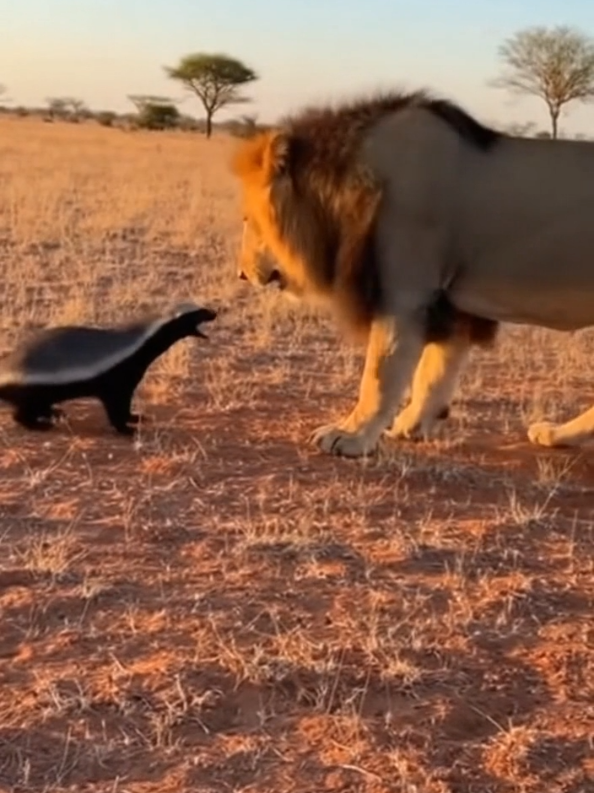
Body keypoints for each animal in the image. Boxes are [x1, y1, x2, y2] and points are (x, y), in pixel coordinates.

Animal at [230, 88, 594, 457]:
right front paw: (412, 425)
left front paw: (350, 436)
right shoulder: (449, 304)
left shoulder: (405, 293)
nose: (241, 274)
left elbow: (380, 374)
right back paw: (556, 434)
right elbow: (434, 371)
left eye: (247, 218)